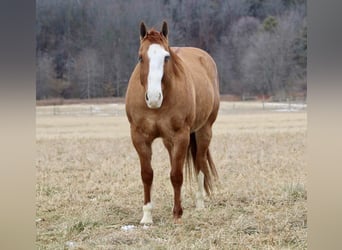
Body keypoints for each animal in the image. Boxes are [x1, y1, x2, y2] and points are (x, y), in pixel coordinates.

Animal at [125, 21, 219, 225]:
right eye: (140, 57)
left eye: (166, 57)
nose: (153, 97)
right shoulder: (139, 137)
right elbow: (147, 175)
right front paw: (147, 216)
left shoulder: (181, 136)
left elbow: (176, 175)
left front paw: (177, 214)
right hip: (170, 142)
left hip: (203, 131)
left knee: (200, 164)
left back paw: (199, 204)